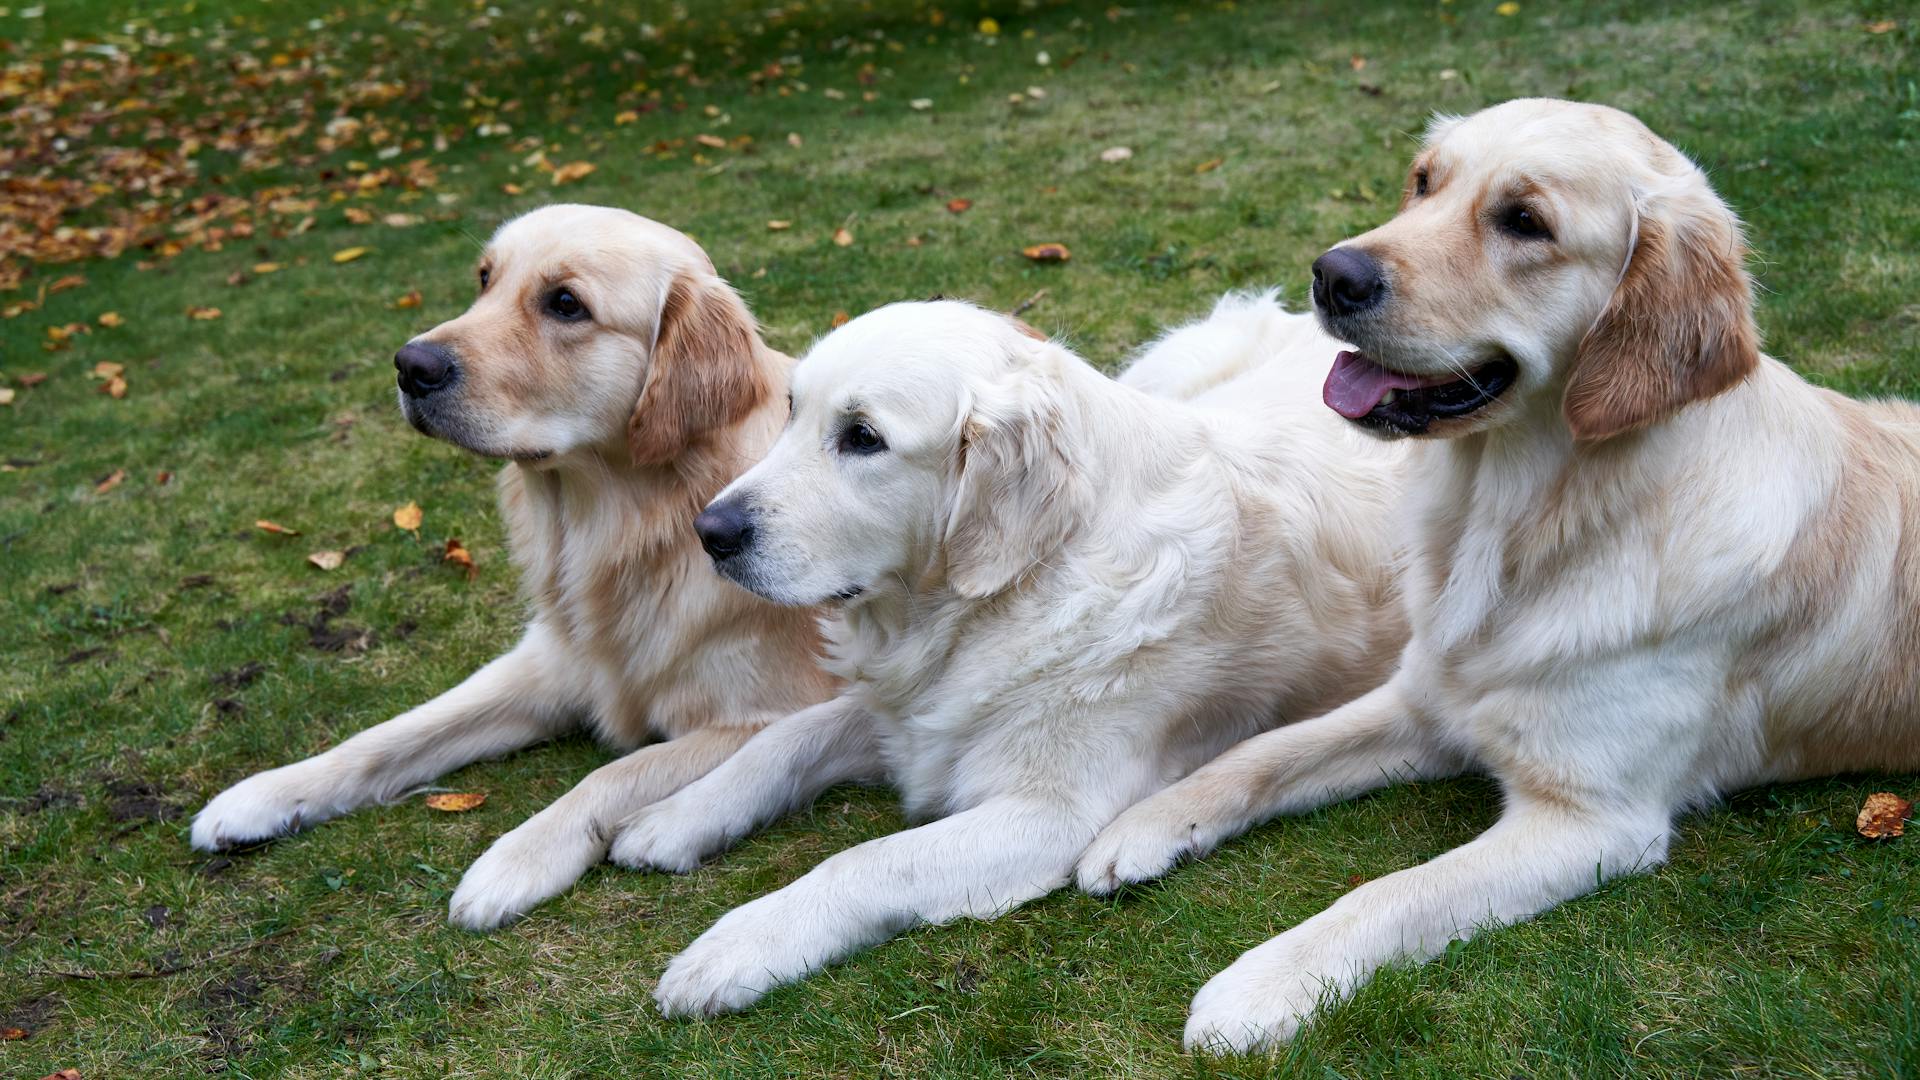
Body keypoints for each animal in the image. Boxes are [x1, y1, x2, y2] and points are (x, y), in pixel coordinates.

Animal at [189, 203, 840, 926]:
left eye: (566, 304)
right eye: (484, 278)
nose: (409, 365)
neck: (629, 530)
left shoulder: (767, 714)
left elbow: (616, 772)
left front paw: (517, 860)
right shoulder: (550, 664)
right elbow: (395, 732)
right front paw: (268, 792)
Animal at [614, 292, 1413, 1006]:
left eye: (863, 437)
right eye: (790, 410)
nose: (710, 531)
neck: (1020, 582)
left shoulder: (1051, 813)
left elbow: (869, 861)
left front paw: (734, 948)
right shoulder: (915, 714)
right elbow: (782, 740)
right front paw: (675, 817)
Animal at [1075, 96, 1920, 1045]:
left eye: (1524, 222)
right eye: (1423, 181)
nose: (1332, 275)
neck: (1518, 524)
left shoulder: (1592, 820)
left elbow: (1396, 892)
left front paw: (1259, 986)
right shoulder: (1428, 703)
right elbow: (1261, 752)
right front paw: (1145, 825)